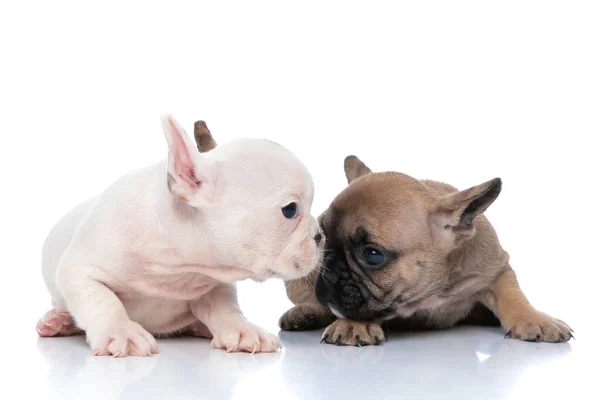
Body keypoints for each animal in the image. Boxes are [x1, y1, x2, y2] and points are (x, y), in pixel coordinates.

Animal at [37, 115, 324, 356]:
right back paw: (58, 321)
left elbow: (225, 307)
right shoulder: (79, 270)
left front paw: (243, 330)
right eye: (290, 210)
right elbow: (102, 300)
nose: (320, 235)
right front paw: (120, 331)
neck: (181, 267)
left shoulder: (215, 284)